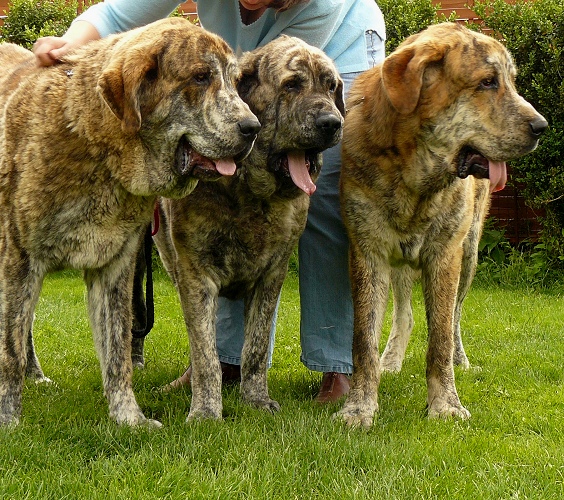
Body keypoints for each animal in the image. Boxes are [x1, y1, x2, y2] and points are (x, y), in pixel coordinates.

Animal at [334, 23, 548, 428]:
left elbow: (441, 339)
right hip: (401, 264)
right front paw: (359, 407)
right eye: (487, 82)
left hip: (469, 255)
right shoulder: (368, 254)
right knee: (404, 316)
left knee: (456, 318)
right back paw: (391, 360)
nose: (542, 126)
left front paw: (445, 405)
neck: (414, 176)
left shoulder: (444, 256)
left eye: (511, 81)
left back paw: (461, 360)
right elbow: (363, 339)